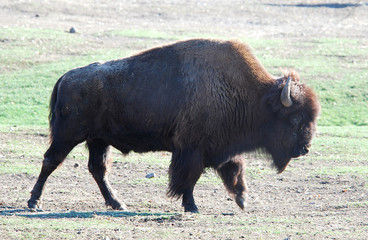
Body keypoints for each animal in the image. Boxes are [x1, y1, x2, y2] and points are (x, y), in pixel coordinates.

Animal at [27, 38, 320, 213]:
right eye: (295, 118)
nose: (304, 149)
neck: (254, 96)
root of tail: (66, 77)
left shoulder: (223, 148)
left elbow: (233, 171)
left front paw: (242, 200)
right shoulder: (191, 149)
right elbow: (189, 179)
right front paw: (192, 207)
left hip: (98, 140)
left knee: (97, 169)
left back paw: (118, 203)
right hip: (68, 136)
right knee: (51, 161)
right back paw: (33, 202)